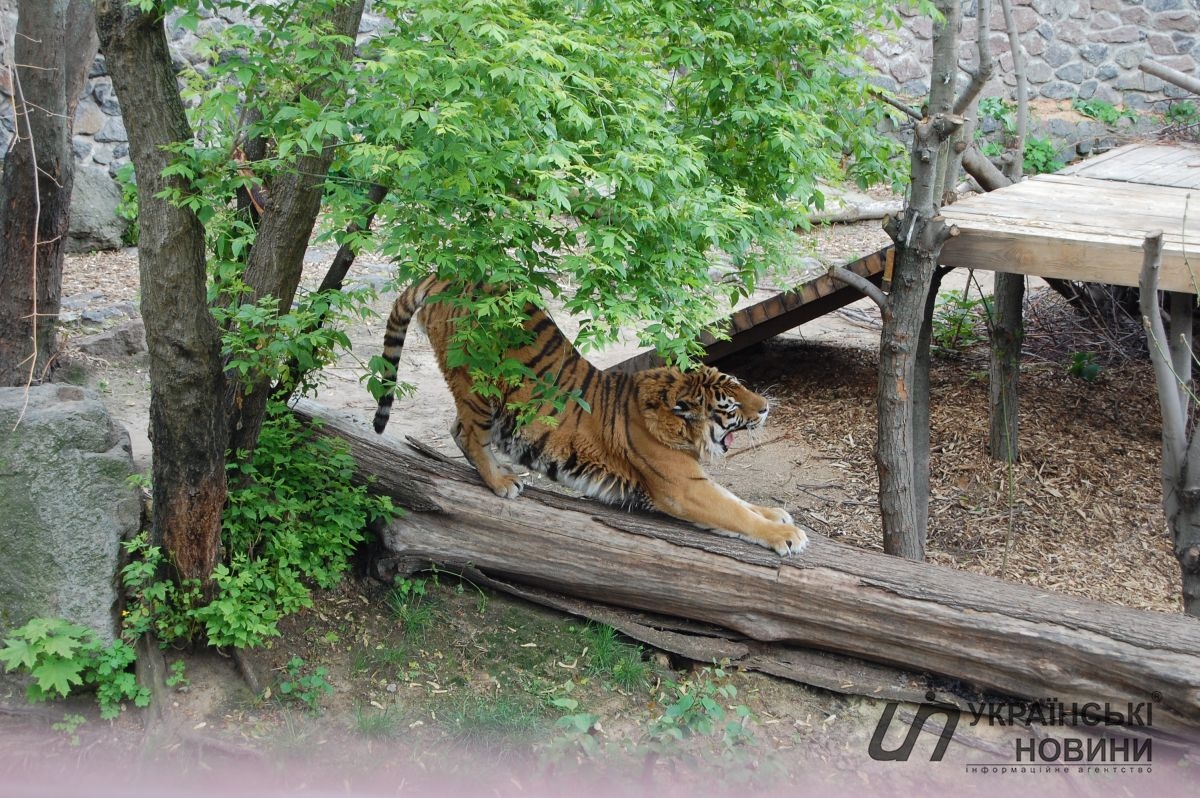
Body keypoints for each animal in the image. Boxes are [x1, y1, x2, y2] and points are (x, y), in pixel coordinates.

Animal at [372, 275, 808, 556]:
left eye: (740, 384)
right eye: (729, 405)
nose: (766, 407)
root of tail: (446, 275)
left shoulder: (695, 480)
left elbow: (740, 502)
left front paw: (776, 514)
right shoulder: (684, 487)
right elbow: (735, 512)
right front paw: (786, 535)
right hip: (478, 386)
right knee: (464, 431)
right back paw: (501, 481)